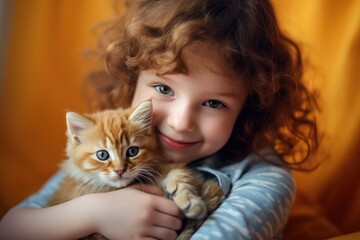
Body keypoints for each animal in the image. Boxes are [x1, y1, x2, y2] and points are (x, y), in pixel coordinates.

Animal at [46, 100, 224, 239]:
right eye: (102, 155)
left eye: (132, 151)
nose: (119, 171)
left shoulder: (161, 167)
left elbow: (180, 178)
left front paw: (190, 202)